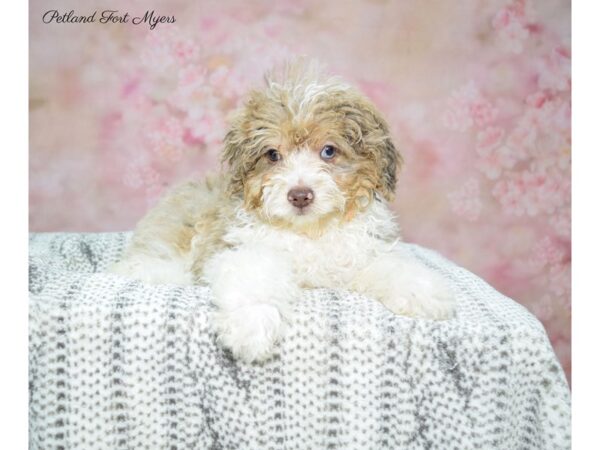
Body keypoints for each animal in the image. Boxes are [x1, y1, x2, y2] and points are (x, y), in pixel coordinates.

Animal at [111, 62, 454, 362]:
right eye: (273, 155)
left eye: (329, 151)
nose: (300, 195)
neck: (309, 232)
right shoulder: (241, 248)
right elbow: (255, 276)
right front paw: (251, 325)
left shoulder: (359, 253)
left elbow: (392, 266)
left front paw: (424, 292)